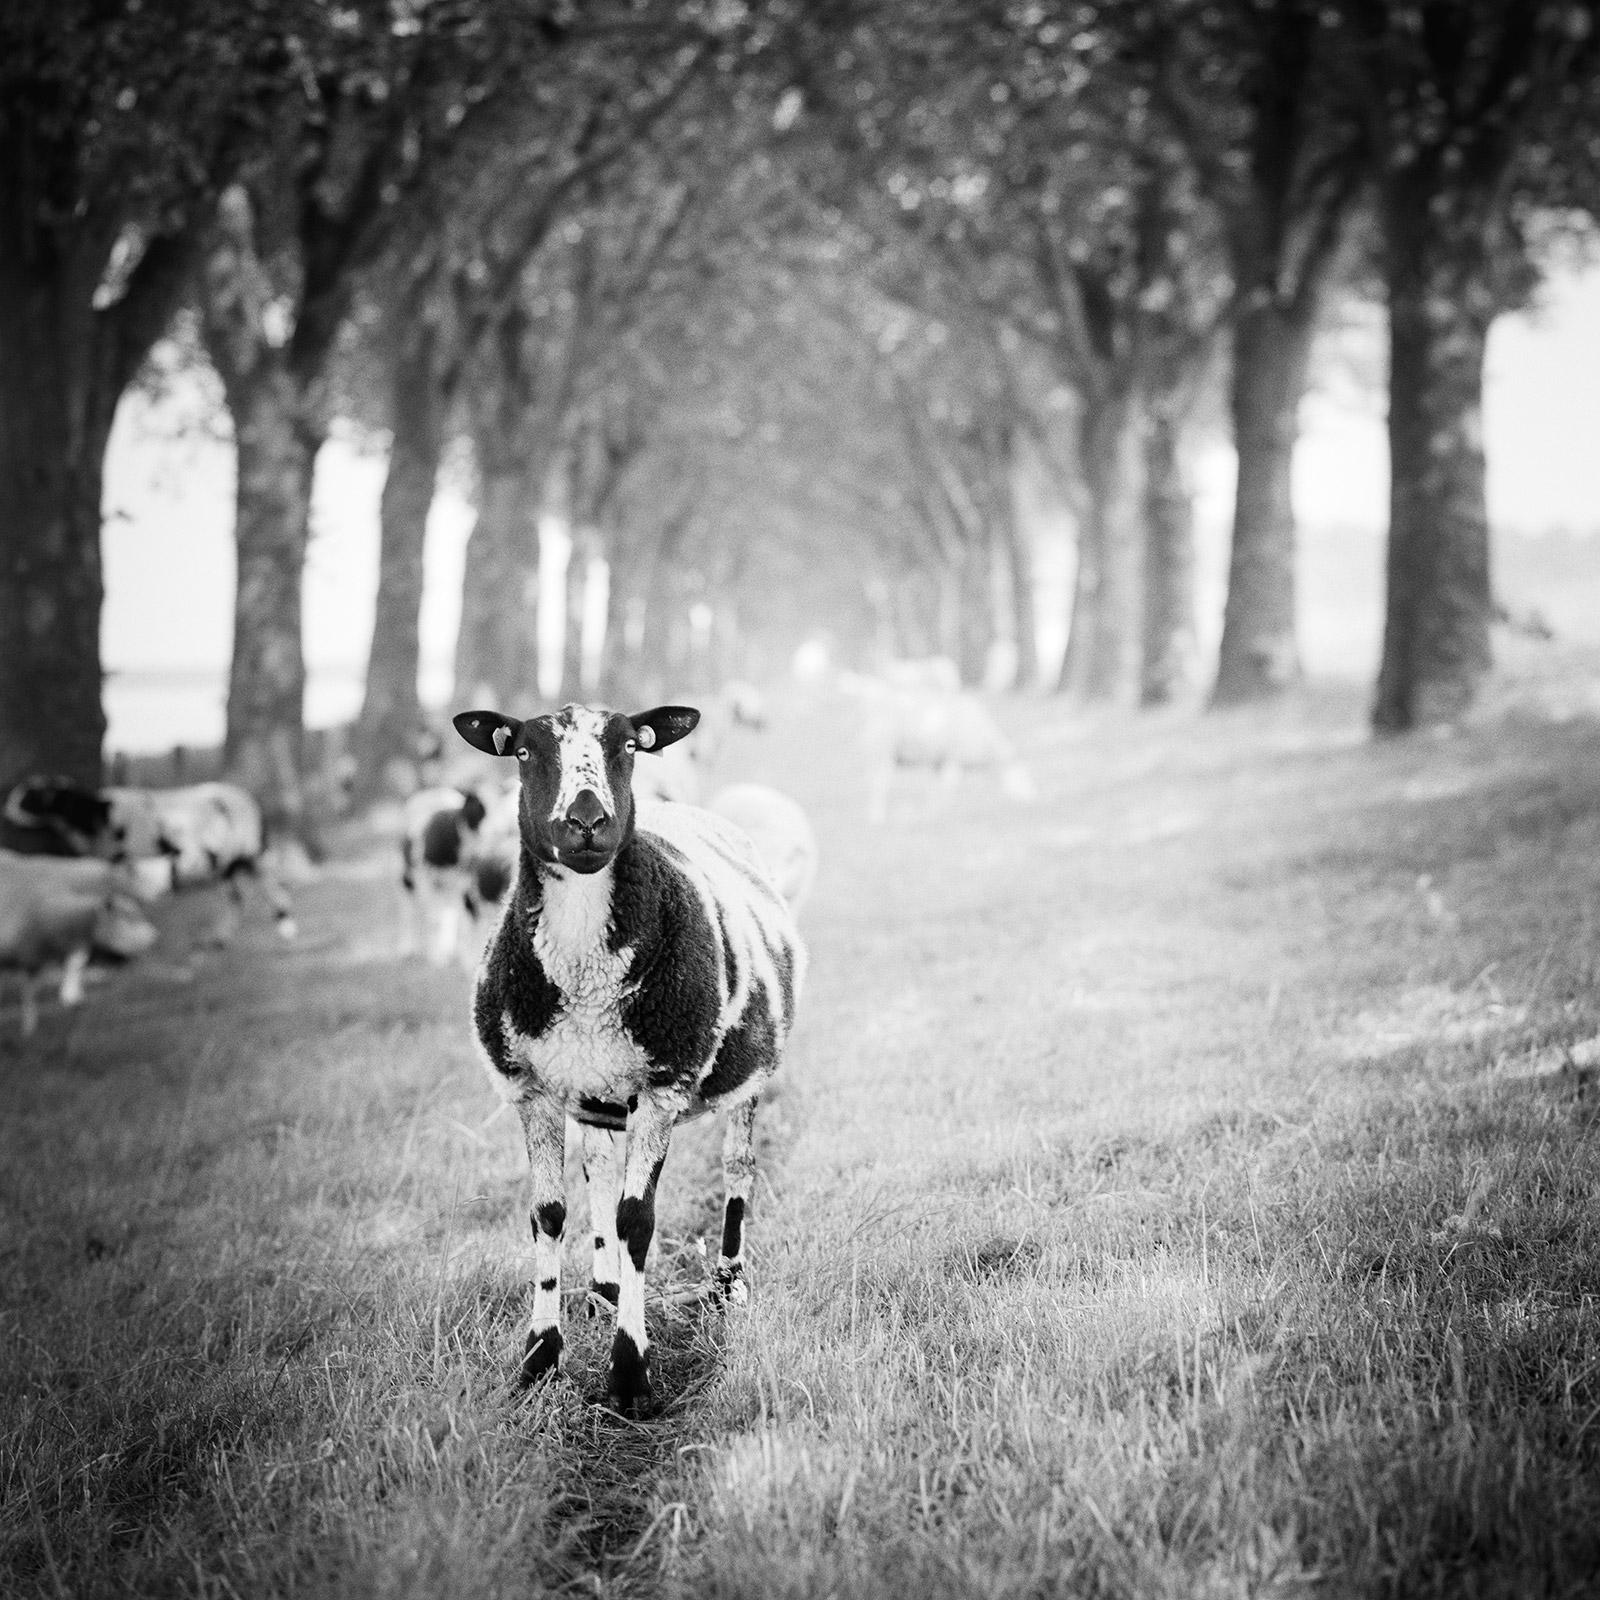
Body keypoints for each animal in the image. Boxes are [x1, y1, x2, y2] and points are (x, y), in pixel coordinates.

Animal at [451, 700, 806, 1414]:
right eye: (523, 751)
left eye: (630, 746)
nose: (588, 821)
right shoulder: (531, 1089)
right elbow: (549, 1215)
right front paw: (539, 1359)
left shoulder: (663, 1086)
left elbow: (637, 1220)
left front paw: (630, 1375)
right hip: (596, 1090)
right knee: (598, 1173)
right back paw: (604, 1290)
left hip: (745, 1074)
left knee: (738, 1167)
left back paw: (725, 1284)